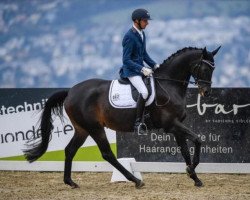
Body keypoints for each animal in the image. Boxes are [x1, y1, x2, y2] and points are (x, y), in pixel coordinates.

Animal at [23, 45, 221, 189]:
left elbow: (186, 150)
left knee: (70, 150)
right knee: (107, 154)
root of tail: (71, 91)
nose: (206, 92)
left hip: (82, 129)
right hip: (95, 128)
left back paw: (70, 182)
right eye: (204, 68)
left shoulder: (177, 126)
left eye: (213, 69)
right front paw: (191, 170)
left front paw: (194, 176)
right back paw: (135, 180)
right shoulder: (171, 125)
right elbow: (197, 140)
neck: (169, 85)